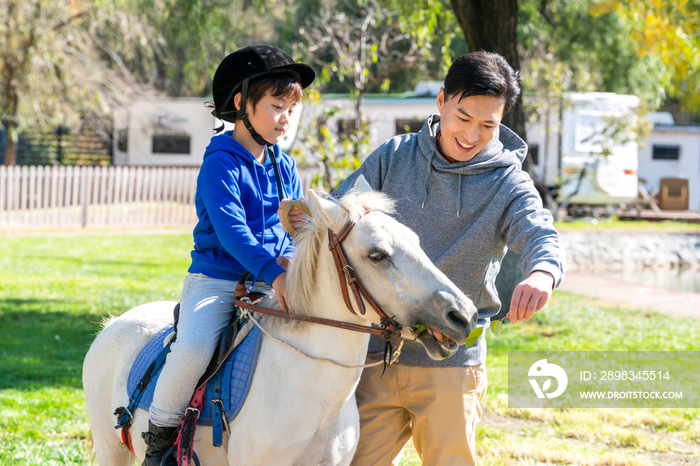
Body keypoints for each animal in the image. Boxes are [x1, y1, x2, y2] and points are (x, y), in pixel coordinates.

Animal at [80, 179, 476, 466]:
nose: (464, 315)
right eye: (378, 255)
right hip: (110, 450)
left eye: (416, 242)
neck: (314, 395)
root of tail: (114, 324)